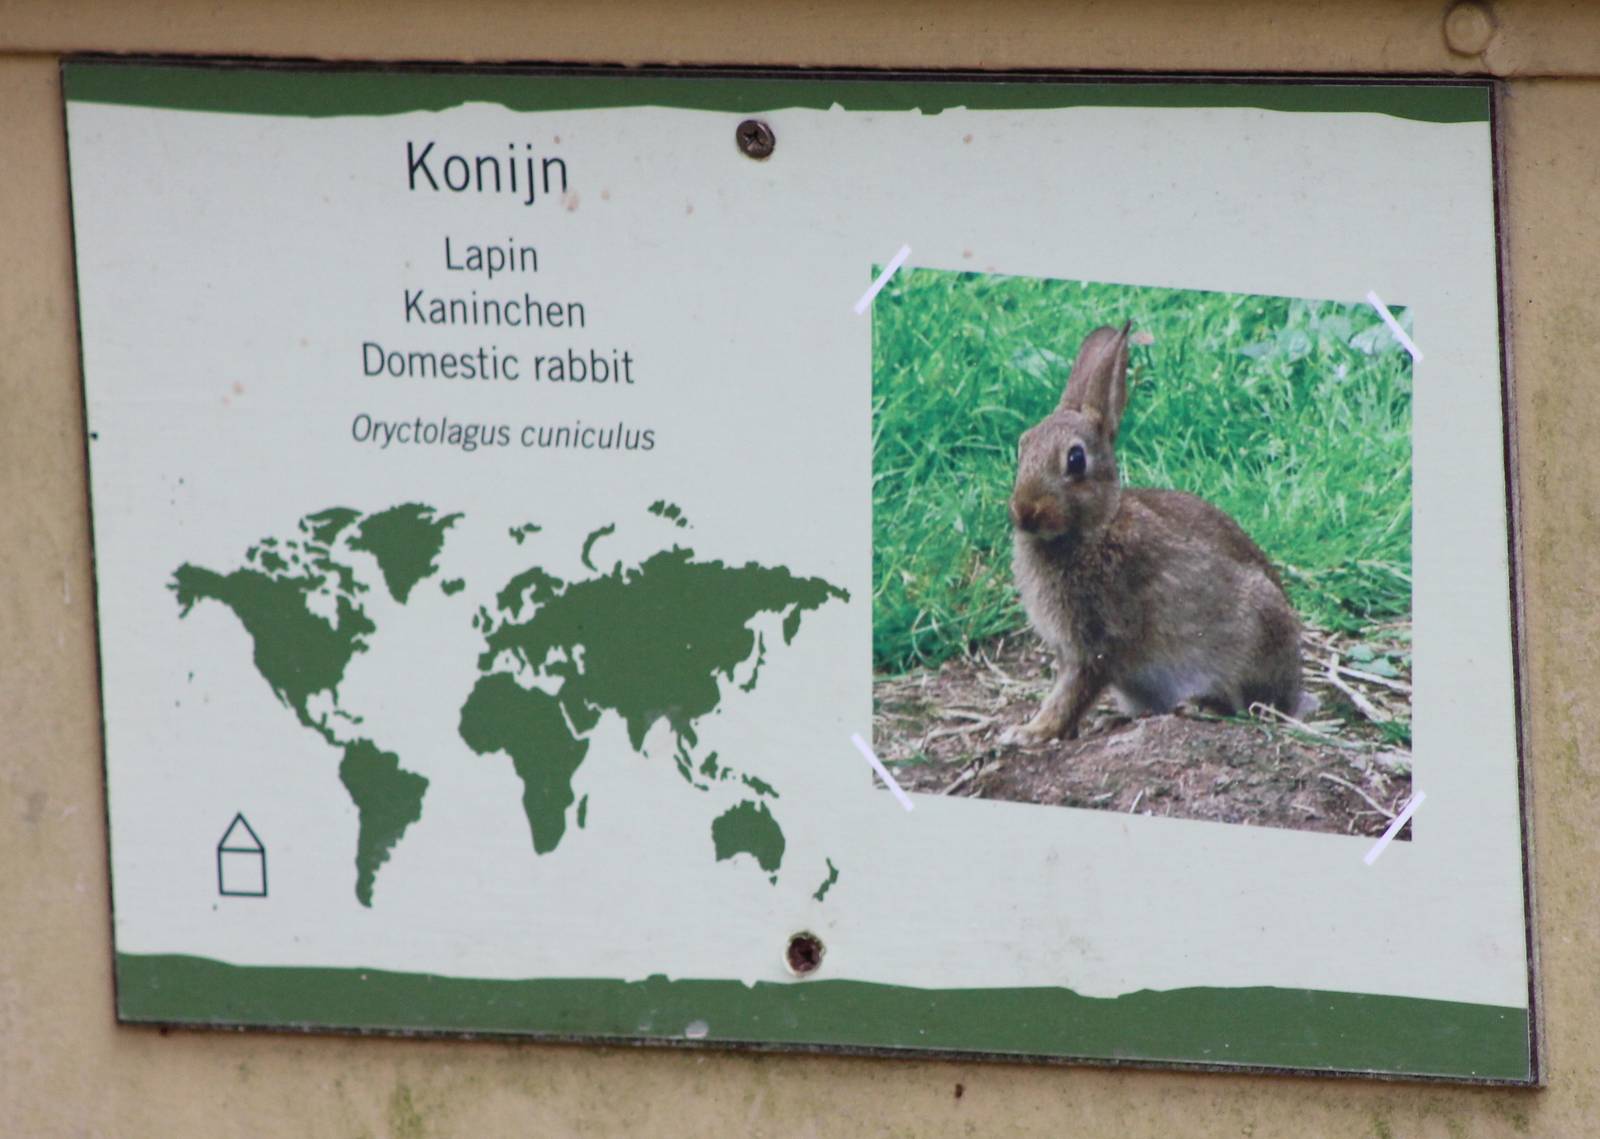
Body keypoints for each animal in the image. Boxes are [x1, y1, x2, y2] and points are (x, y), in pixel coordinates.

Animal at [1004, 322, 1312, 744]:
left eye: (1076, 459)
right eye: (1023, 445)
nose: (1025, 512)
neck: (1095, 529)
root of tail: (1292, 690)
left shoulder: (1097, 642)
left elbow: (1071, 693)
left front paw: (1030, 732)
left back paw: (1200, 706)